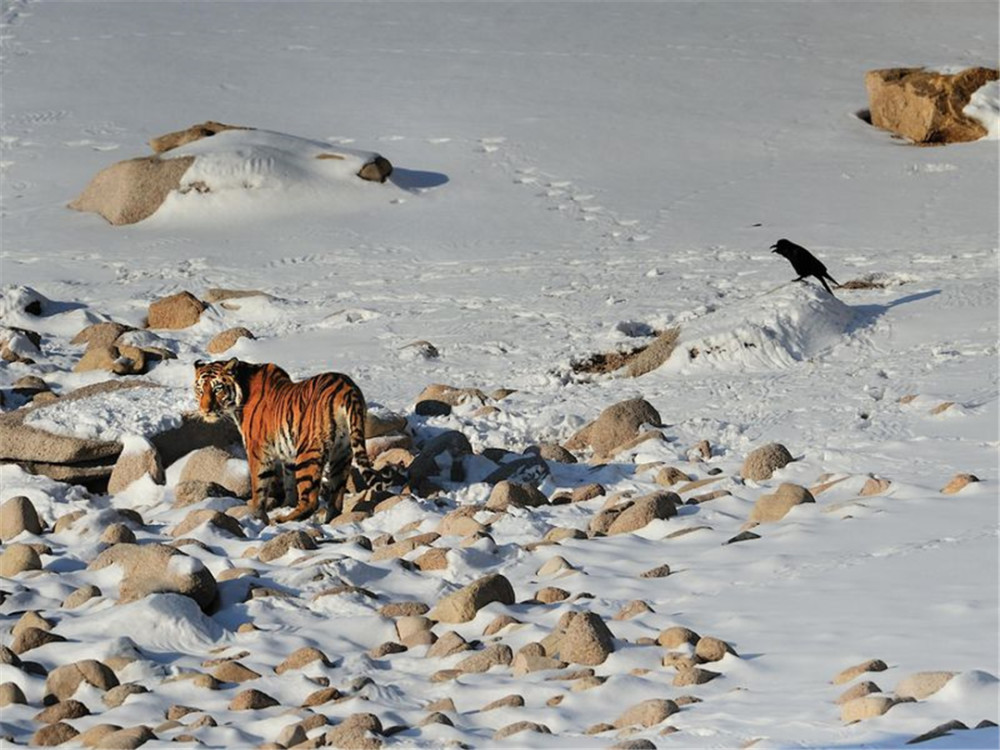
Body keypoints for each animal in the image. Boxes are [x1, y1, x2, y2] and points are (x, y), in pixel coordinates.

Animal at [193, 356, 376, 524]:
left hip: (308, 452)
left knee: (311, 501)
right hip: (342, 452)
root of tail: (346, 389)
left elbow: (259, 487)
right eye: (200, 390)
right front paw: (287, 504)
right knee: (336, 496)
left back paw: (282, 520)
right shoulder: (288, 453)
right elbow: (289, 481)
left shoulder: (257, 450)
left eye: (218, 388)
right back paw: (330, 520)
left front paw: (257, 517)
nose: (205, 410)